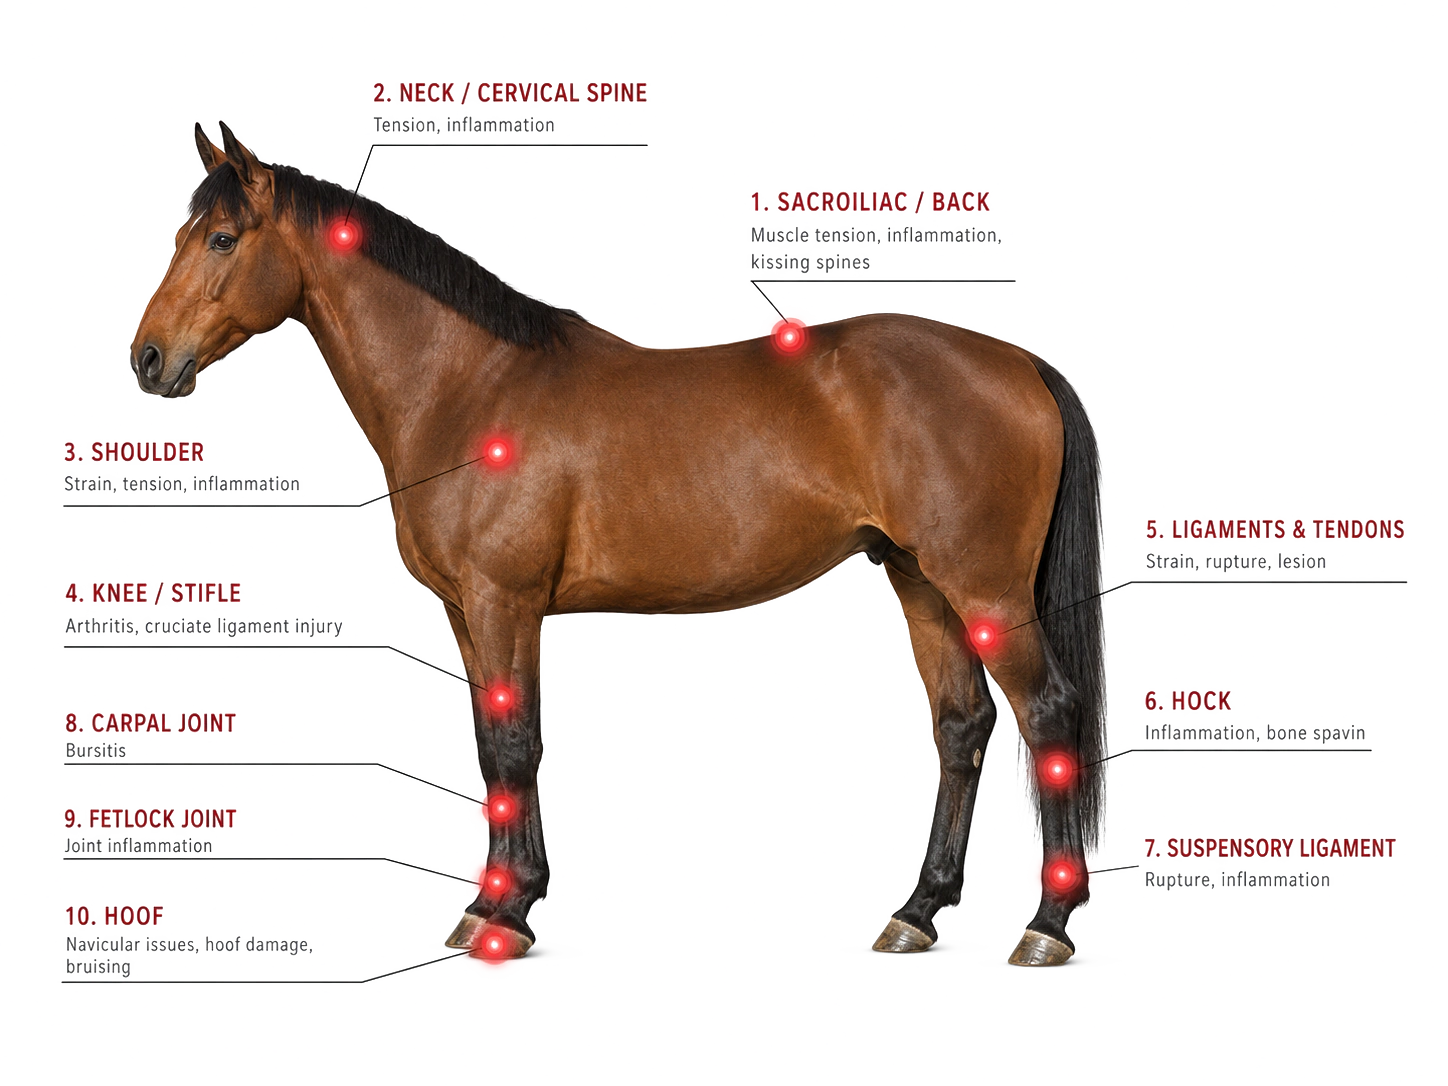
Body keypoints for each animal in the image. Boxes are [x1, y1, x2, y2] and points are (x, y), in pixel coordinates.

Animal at [131, 122, 1108, 966]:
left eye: (222, 238)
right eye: (184, 231)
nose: (148, 360)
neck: (470, 388)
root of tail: (1020, 364)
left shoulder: (505, 601)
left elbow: (516, 744)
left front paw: (508, 914)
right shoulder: (465, 611)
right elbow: (491, 743)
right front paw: (489, 903)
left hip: (984, 588)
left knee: (1048, 713)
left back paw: (1047, 925)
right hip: (922, 583)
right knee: (961, 726)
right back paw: (917, 911)